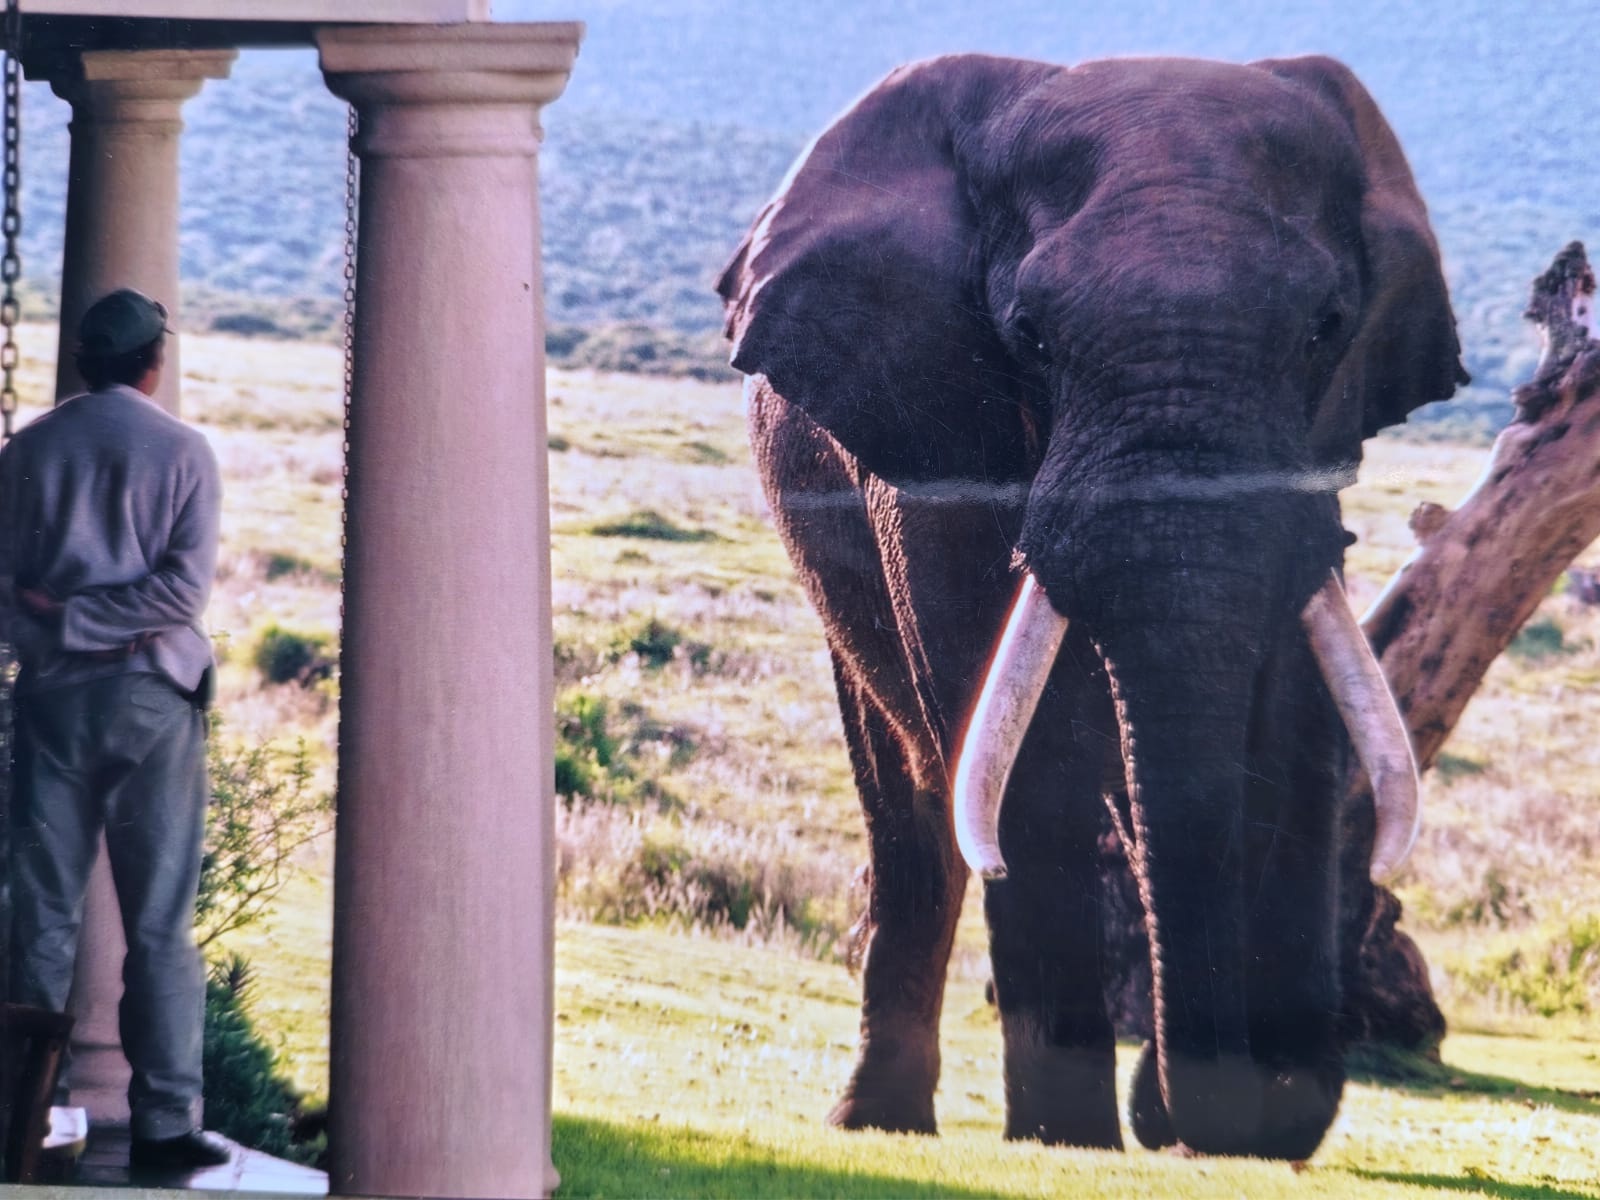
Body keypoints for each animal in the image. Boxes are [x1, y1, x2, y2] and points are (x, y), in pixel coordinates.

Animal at [716, 53, 1465, 1159]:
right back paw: (881, 1122)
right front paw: (1068, 1141)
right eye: (1027, 336)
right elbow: (1019, 748)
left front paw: (1255, 1115)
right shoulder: (930, 442)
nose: (1182, 1120)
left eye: (1326, 329)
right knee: (911, 793)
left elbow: (1289, 719)